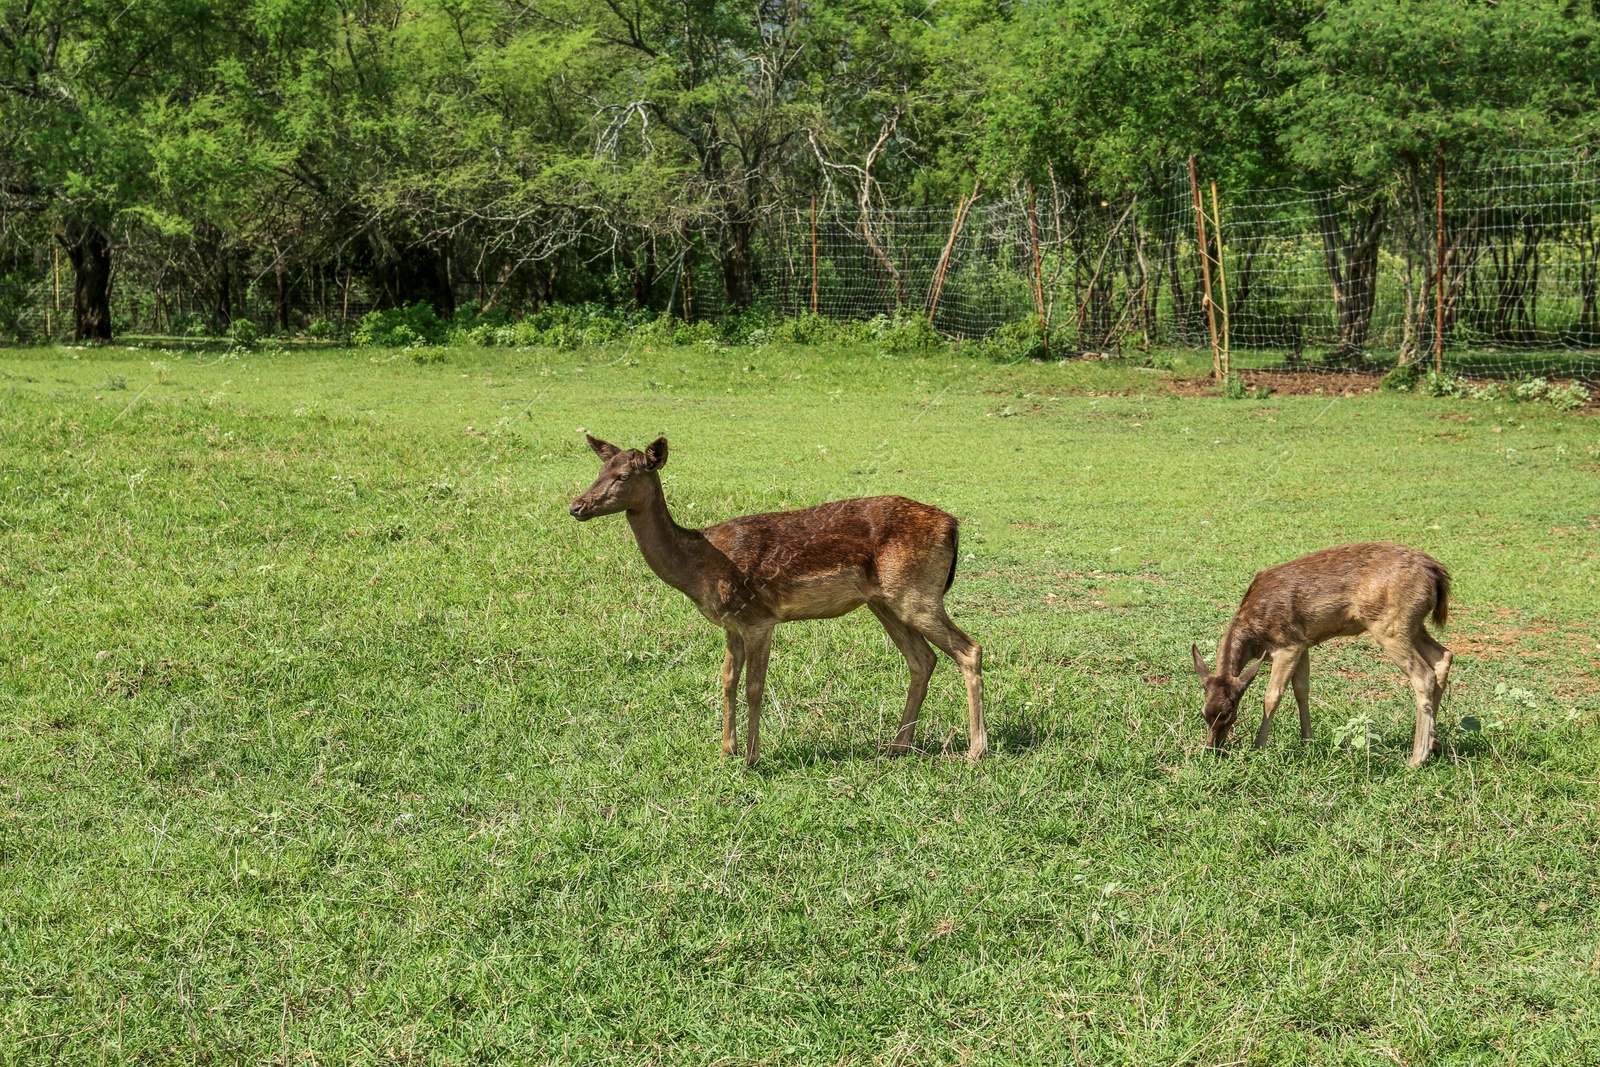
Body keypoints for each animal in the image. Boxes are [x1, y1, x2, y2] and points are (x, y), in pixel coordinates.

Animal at [569, 435, 979, 767]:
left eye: (624, 476)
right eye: (600, 469)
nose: (576, 506)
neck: (699, 567)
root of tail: (953, 525)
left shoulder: (758, 617)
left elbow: (755, 687)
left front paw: (752, 758)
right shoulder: (732, 623)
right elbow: (727, 681)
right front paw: (726, 751)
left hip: (917, 592)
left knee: (968, 649)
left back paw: (976, 751)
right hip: (885, 602)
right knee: (922, 660)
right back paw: (897, 746)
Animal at [1196, 543, 1459, 767]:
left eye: (1230, 716)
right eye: (1204, 714)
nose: (1212, 749)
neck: (1255, 637)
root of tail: (1436, 573)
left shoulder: (1286, 643)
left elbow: (1272, 696)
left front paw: (1259, 747)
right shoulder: (1303, 643)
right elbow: (1302, 691)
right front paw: (1307, 743)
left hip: (1390, 625)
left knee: (1423, 675)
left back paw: (1417, 759)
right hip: (1413, 625)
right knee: (1443, 656)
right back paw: (1435, 744)